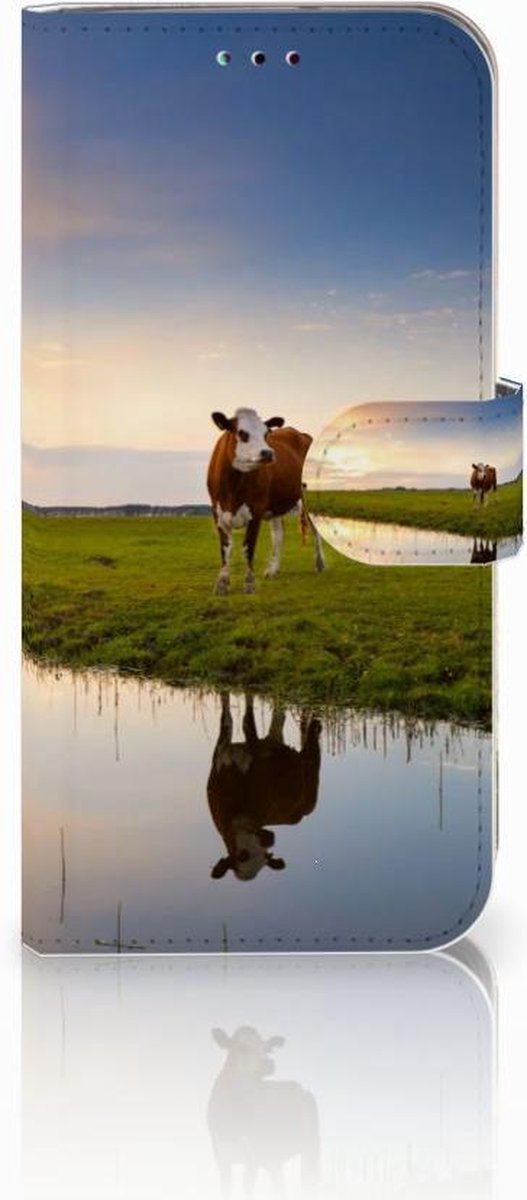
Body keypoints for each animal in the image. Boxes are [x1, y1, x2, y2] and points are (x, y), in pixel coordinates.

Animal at [207, 407, 325, 594]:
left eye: (266, 433)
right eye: (242, 433)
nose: (268, 453)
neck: (233, 487)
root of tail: (300, 433)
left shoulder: (256, 510)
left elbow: (248, 547)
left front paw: (249, 584)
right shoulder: (217, 512)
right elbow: (225, 549)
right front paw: (222, 584)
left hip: (307, 496)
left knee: (315, 528)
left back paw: (319, 563)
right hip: (275, 504)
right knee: (278, 535)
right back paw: (273, 570)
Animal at [207, 693, 321, 882]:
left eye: (265, 856)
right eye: (241, 856)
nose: (270, 839)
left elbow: (247, 722)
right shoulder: (221, 752)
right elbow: (227, 718)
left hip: (311, 789)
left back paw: (315, 726)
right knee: (278, 720)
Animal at [207, 1025, 320, 1198]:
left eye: (267, 1048)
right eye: (242, 1047)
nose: (268, 1063)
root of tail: (300, 1087)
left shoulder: (253, 1157)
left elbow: (248, 1189)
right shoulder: (221, 1158)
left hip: (312, 1147)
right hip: (274, 1158)